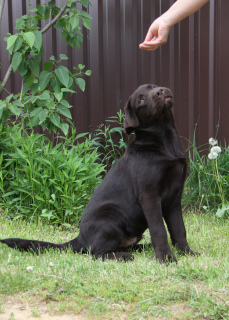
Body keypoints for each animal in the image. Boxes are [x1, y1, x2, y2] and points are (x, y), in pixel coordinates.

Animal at [0, 85, 197, 262]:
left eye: (154, 86)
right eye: (141, 100)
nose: (160, 91)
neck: (163, 140)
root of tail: (80, 239)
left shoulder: (174, 197)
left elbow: (179, 229)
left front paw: (187, 252)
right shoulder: (150, 196)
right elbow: (159, 230)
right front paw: (166, 258)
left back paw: (142, 247)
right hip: (110, 216)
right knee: (96, 253)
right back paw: (123, 256)